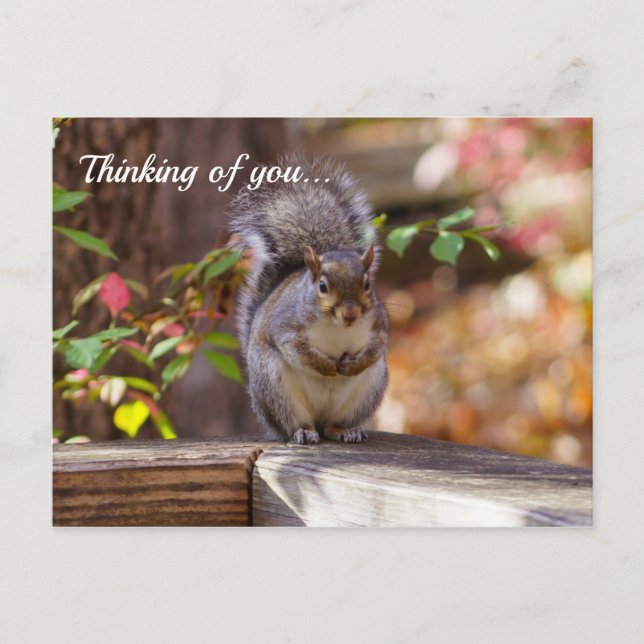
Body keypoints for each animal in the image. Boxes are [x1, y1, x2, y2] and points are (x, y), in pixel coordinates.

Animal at [229, 157, 388, 444]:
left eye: (367, 284)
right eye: (322, 287)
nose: (350, 313)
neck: (337, 327)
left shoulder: (378, 324)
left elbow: (377, 347)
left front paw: (351, 364)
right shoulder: (285, 325)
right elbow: (296, 348)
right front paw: (327, 366)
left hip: (368, 391)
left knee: (332, 426)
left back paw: (346, 431)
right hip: (275, 389)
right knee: (297, 423)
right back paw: (303, 432)